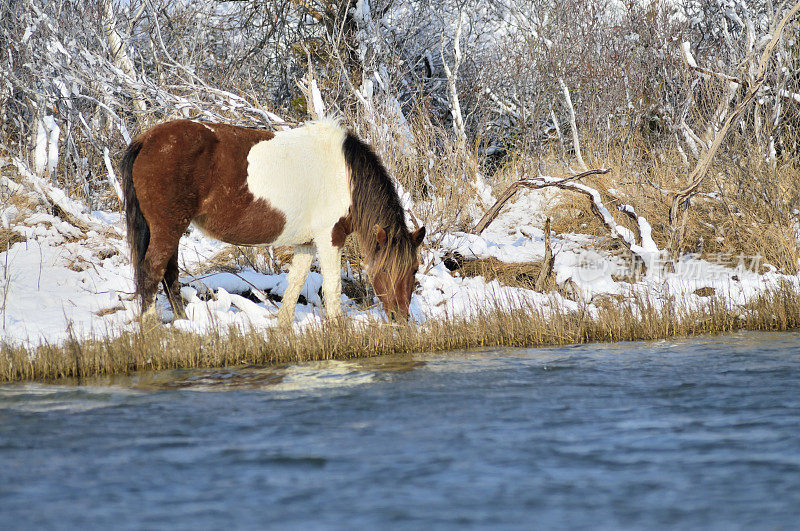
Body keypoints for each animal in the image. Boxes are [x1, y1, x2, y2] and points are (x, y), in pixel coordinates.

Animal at [120, 119, 424, 324]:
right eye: (385, 270)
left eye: (414, 270)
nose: (400, 319)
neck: (345, 175)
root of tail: (147, 139)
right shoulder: (330, 237)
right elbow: (333, 288)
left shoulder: (306, 243)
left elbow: (295, 284)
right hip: (168, 228)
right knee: (152, 272)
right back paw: (152, 329)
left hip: (170, 230)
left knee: (169, 275)